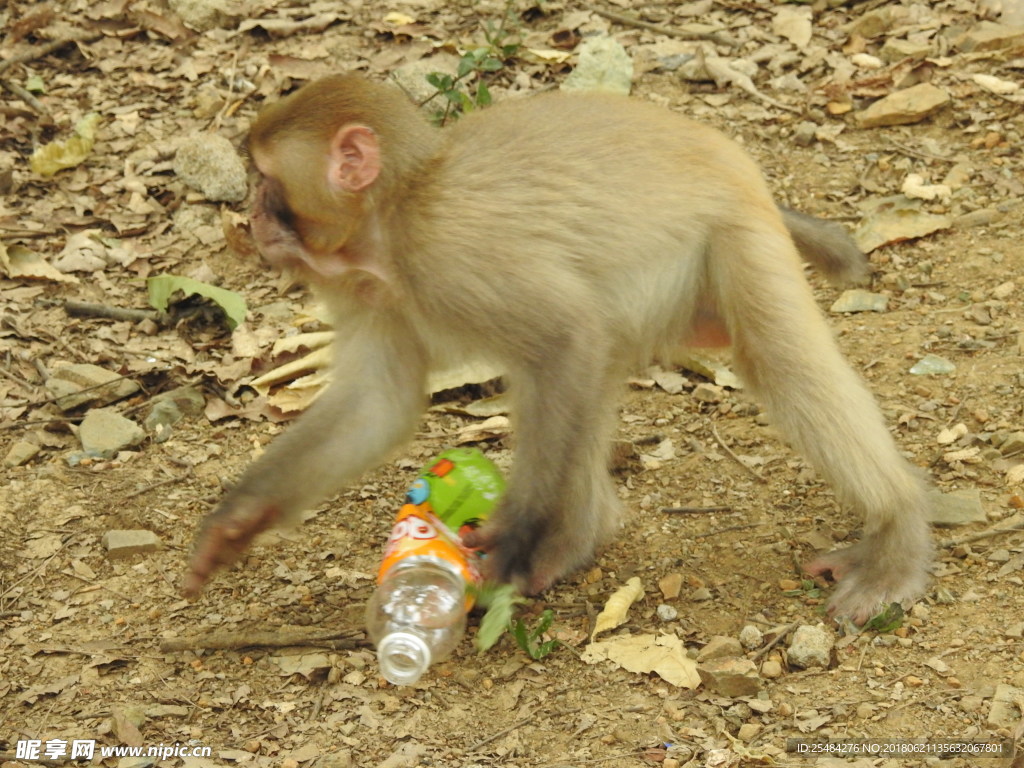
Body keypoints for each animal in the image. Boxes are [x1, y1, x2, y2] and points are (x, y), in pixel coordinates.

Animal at [180, 73, 933, 626]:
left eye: (267, 181)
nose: (249, 218)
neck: (391, 221)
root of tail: (737, 160)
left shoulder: (451, 255)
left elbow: (565, 337)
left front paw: (512, 537)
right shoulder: (371, 292)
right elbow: (379, 405)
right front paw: (239, 521)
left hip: (735, 234)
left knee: (768, 358)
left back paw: (896, 535)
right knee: (594, 363)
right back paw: (578, 538)